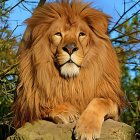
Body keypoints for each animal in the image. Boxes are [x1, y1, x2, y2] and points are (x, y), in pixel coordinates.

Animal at [12, 0, 125, 139]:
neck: (71, 81)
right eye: (58, 34)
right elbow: (44, 104)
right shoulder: (27, 109)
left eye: (81, 34)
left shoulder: (113, 107)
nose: (70, 48)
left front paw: (87, 129)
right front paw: (66, 111)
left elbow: (100, 101)